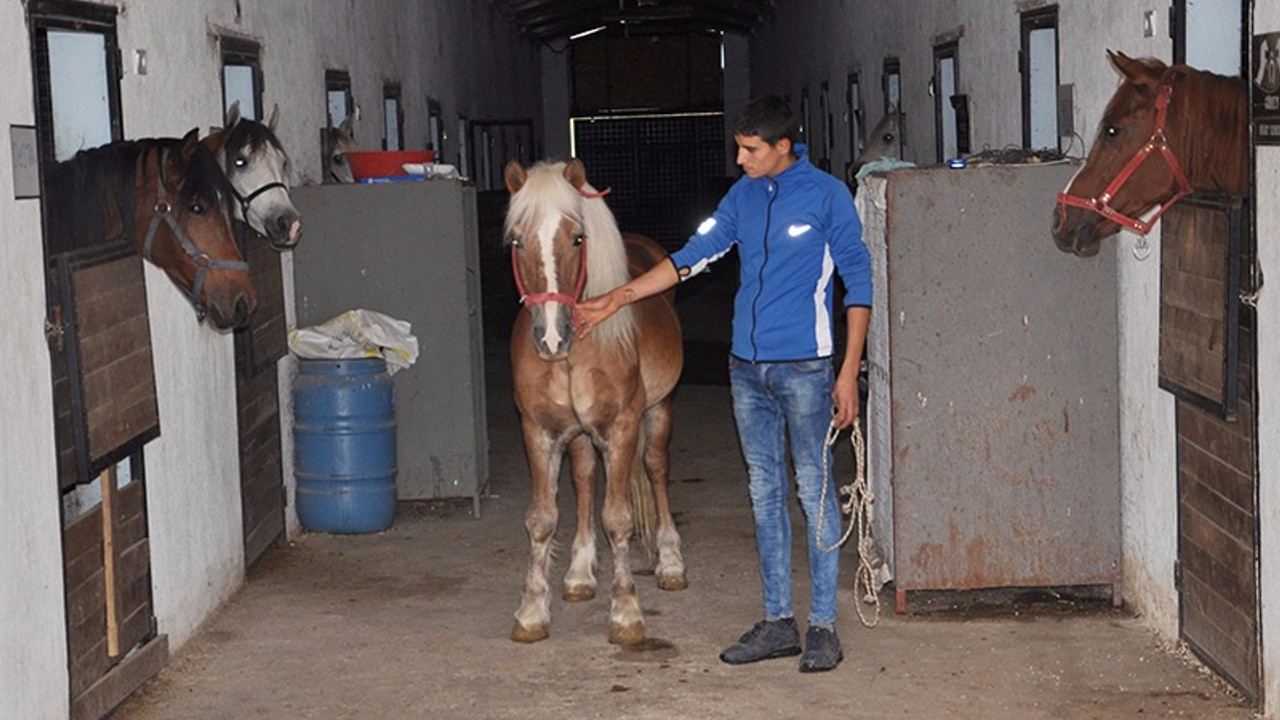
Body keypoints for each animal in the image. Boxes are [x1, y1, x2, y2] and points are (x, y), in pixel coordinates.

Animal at [501, 158, 691, 645]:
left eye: (577, 238)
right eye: (518, 240)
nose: (551, 337)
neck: (574, 355)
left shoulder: (621, 429)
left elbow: (618, 518)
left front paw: (625, 614)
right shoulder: (539, 432)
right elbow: (542, 519)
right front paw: (532, 612)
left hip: (659, 413)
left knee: (657, 470)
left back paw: (671, 562)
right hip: (580, 438)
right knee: (585, 481)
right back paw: (580, 574)